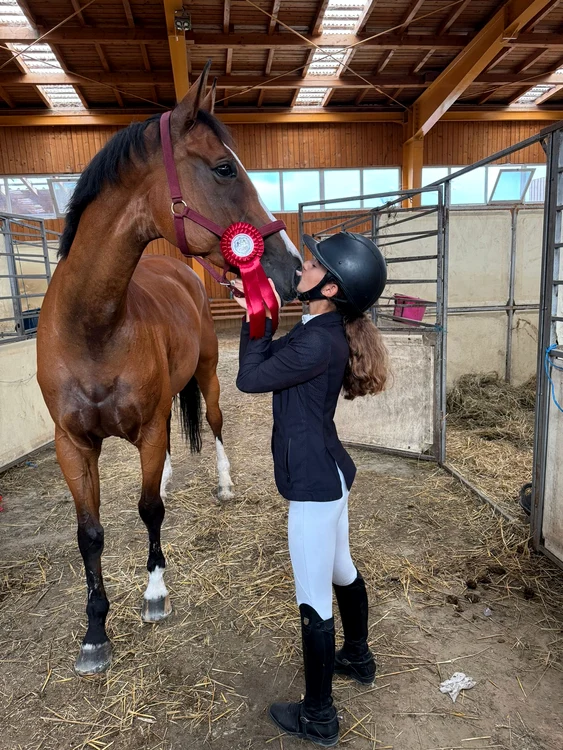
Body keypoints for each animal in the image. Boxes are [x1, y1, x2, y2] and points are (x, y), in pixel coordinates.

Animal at [36, 63, 301, 676]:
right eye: (224, 167)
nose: (292, 267)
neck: (93, 327)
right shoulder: (72, 445)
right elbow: (90, 533)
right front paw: (94, 633)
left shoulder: (151, 426)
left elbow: (149, 510)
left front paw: (154, 592)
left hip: (206, 377)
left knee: (218, 425)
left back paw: (223, 484)